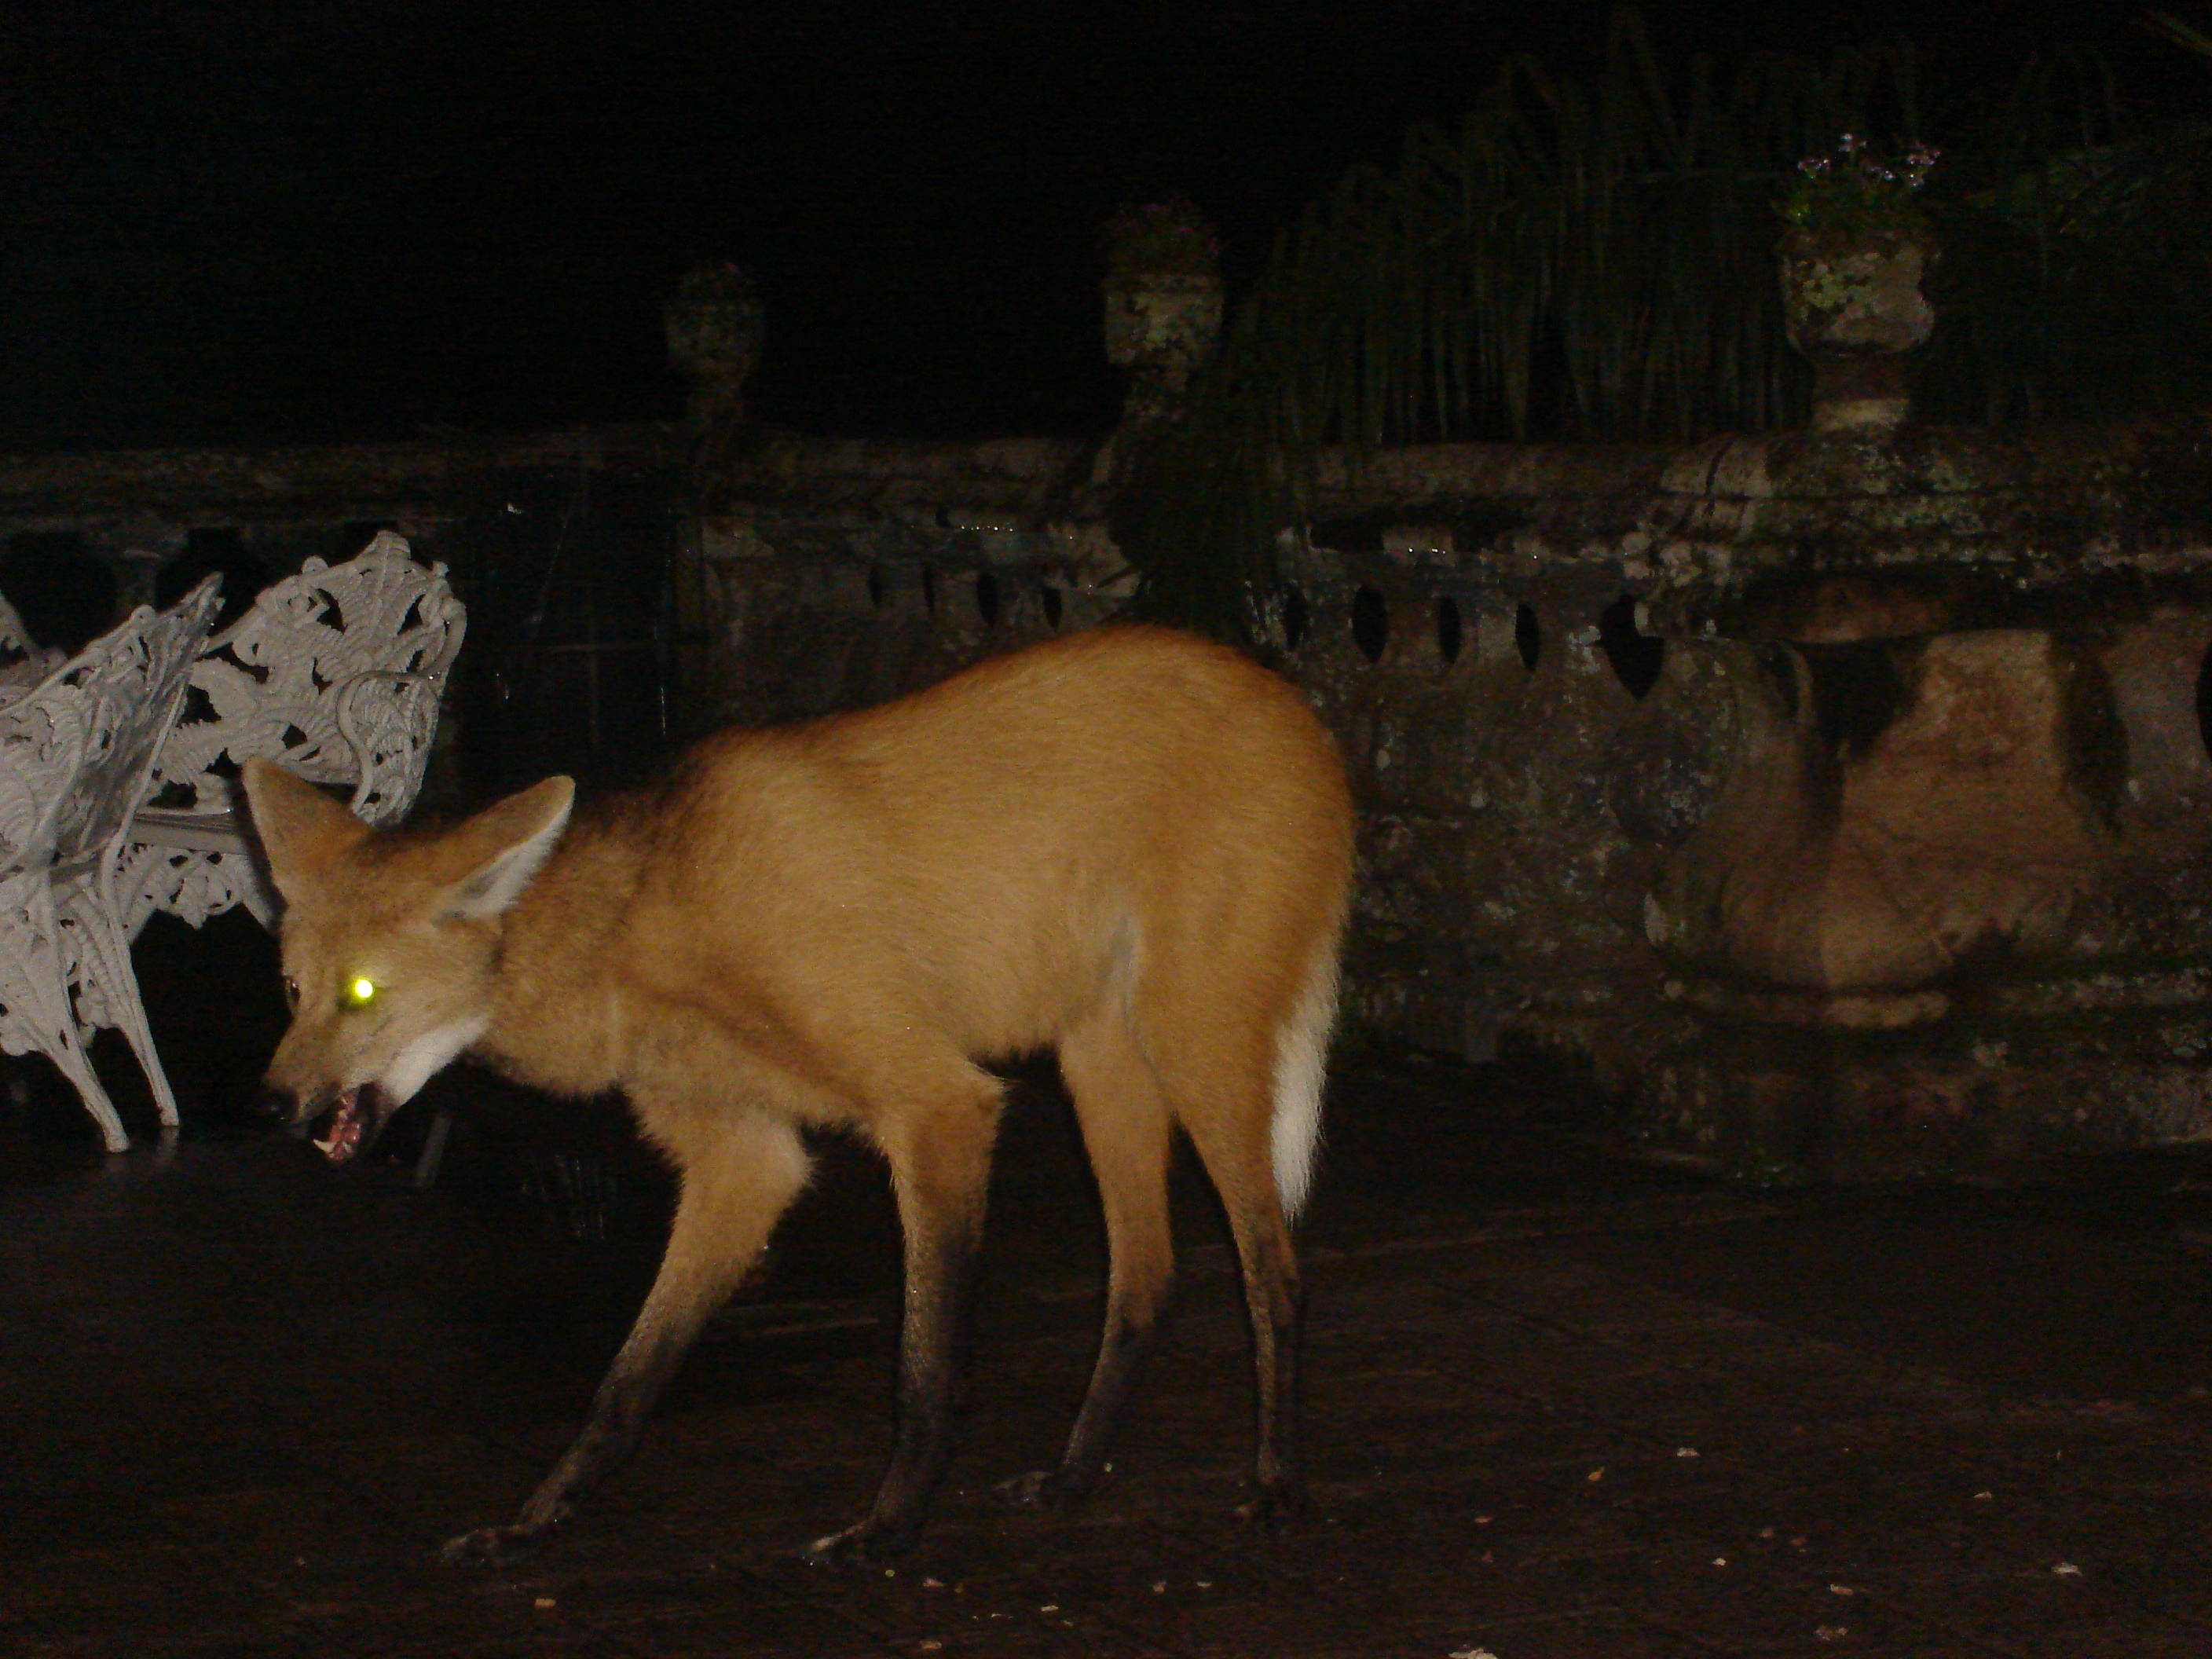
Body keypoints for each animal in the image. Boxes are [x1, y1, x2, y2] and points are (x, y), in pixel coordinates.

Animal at [243, 623, 1355, 1566]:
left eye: (361, 995)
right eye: (294, 992)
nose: (272, 1104)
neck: (650, 924)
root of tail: (1292, 704)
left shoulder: (936, 1106)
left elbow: (922, 1366)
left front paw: (888, 1530)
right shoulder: (744, 1159)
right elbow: (624, 1381)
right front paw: (531, 1523)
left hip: (1192, 1040)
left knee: (1272, 1271)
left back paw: (1277, 1484)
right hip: (1096, 1057)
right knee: (1145, 1278)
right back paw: (1071, 1478)